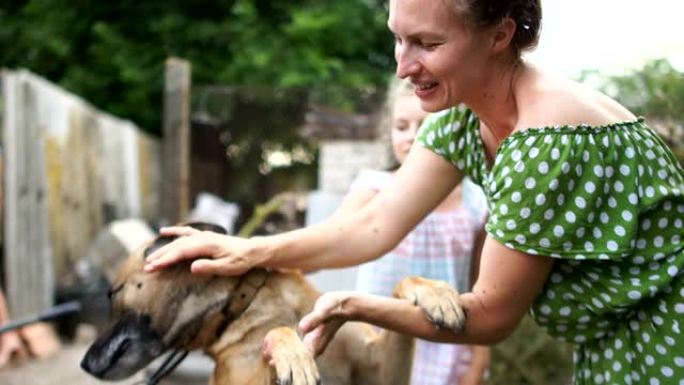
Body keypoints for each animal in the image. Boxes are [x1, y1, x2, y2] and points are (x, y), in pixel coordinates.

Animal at [81, 222, 464, 384]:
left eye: (112, 294)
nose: (85, 363)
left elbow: (403, 282)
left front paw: (434, 293)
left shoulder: (381, 373)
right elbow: (279, 334)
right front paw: (292, 355)